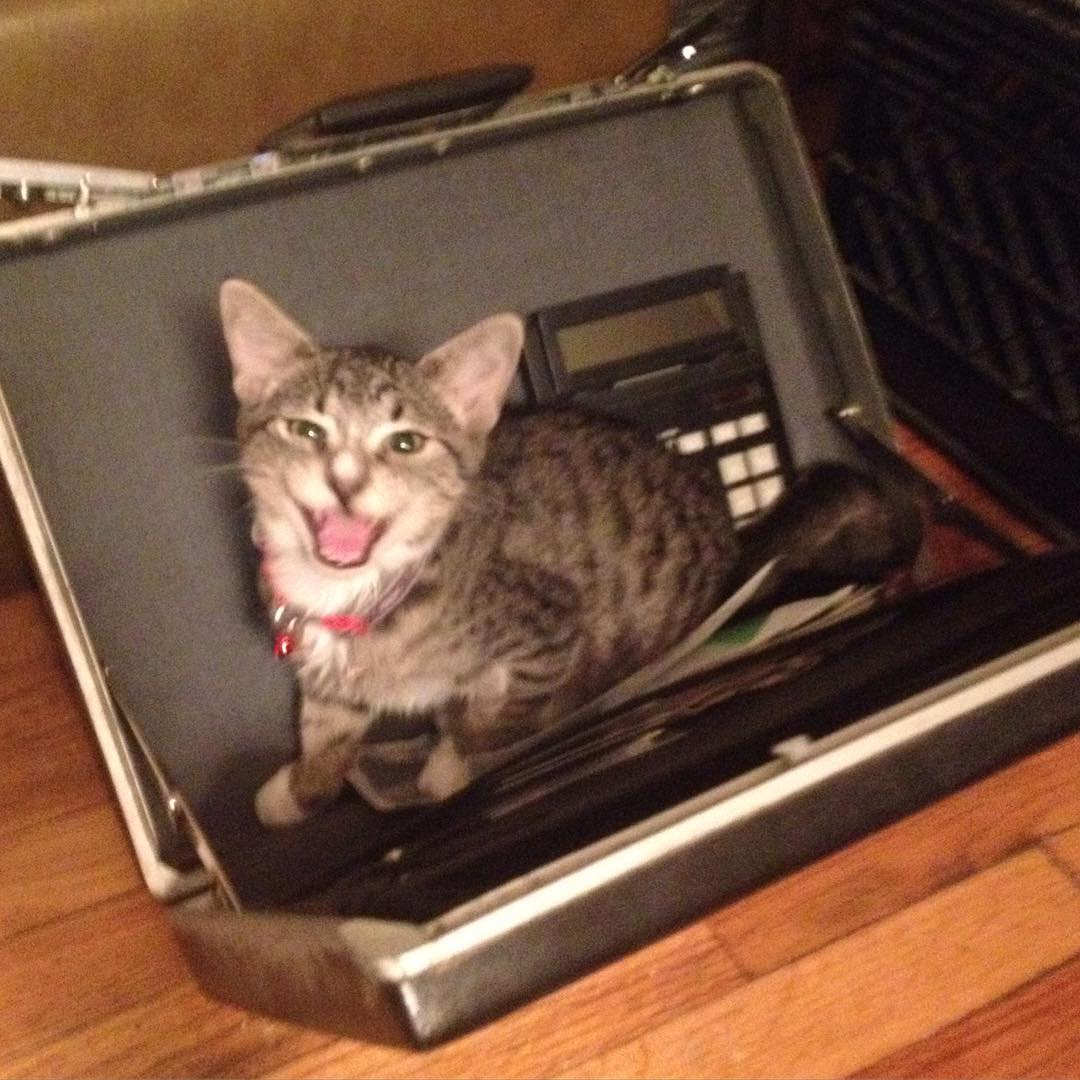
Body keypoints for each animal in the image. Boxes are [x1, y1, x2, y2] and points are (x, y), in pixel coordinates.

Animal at [220, 279, 921, 826]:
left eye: (406, 443)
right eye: (306, 430)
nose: (344, 481)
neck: (362, 594)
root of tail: (731, 542)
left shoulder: (549, 627)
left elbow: (502, 718)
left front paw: (455, 761)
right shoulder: (325, 671)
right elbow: (327, 730)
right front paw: (303, 789)